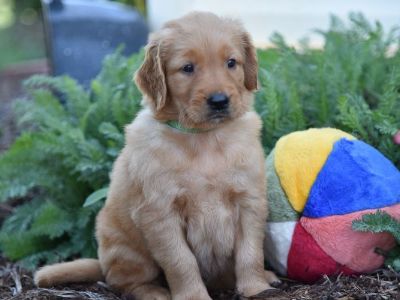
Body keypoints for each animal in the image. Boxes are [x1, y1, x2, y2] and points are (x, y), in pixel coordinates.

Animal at [34, 10, 278, 298]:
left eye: (231, 63)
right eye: (187, 68)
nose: (219, 101)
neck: (204, 139)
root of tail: (102, 263)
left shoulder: (249, 200)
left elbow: (251, 252)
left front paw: (256, 288)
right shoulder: (160, 213)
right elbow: (181, 261)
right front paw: (193, 296)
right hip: (127, 249)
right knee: (125, 282)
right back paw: (155, 292)